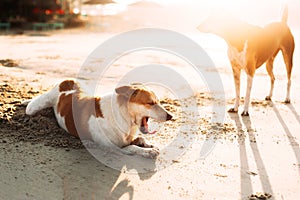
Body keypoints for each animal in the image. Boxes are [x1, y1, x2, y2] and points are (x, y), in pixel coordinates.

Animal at [25, 79, 172, 158]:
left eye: (159, 101)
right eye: (150, 103)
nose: (171, 116)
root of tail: (67, 81)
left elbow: (140, 139)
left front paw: (149, 144)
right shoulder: (114, 148)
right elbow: (132, 148)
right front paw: (148, 151)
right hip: (33, 108)